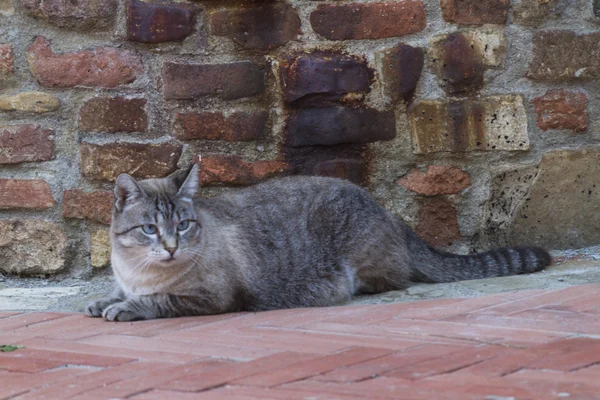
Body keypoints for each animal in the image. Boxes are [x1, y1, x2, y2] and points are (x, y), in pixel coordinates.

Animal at [85, 162, 552, 322]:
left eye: (182, 225)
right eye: (149, 229)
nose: (170, 247)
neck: (141, 270)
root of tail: (389, 212)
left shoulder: (210, 299)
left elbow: (155, 301)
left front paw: (123, 308)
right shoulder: (129, 277)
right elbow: (115, 291)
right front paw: (101, 301)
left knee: (390, 279)